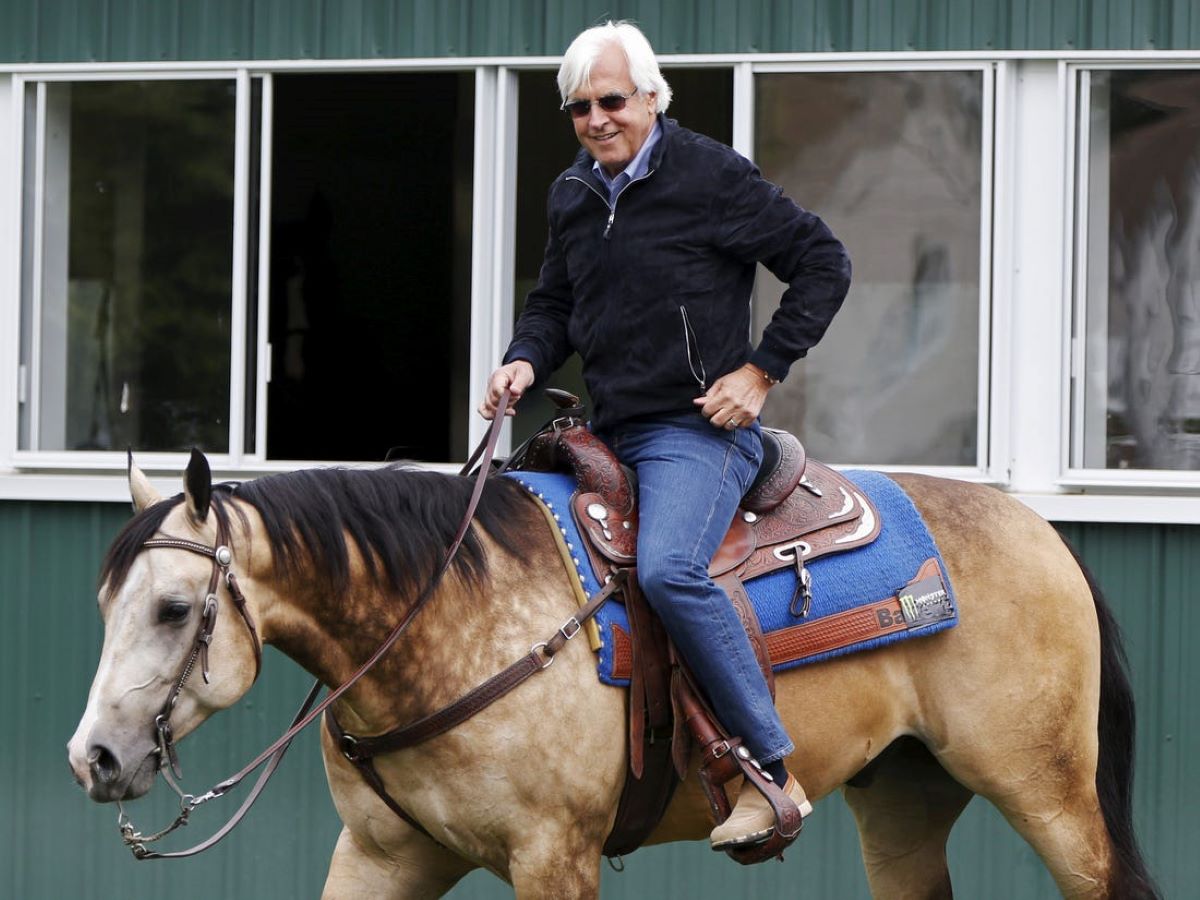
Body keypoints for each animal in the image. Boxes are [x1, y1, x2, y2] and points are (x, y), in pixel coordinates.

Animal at [65, 441, 1152, 897]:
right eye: (105, 606)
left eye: (174, 609)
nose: (95, 759)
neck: (447, 623)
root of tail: (1041, 532)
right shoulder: (382, 855)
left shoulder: (555, 856)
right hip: (903, 800)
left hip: (1045, 789)